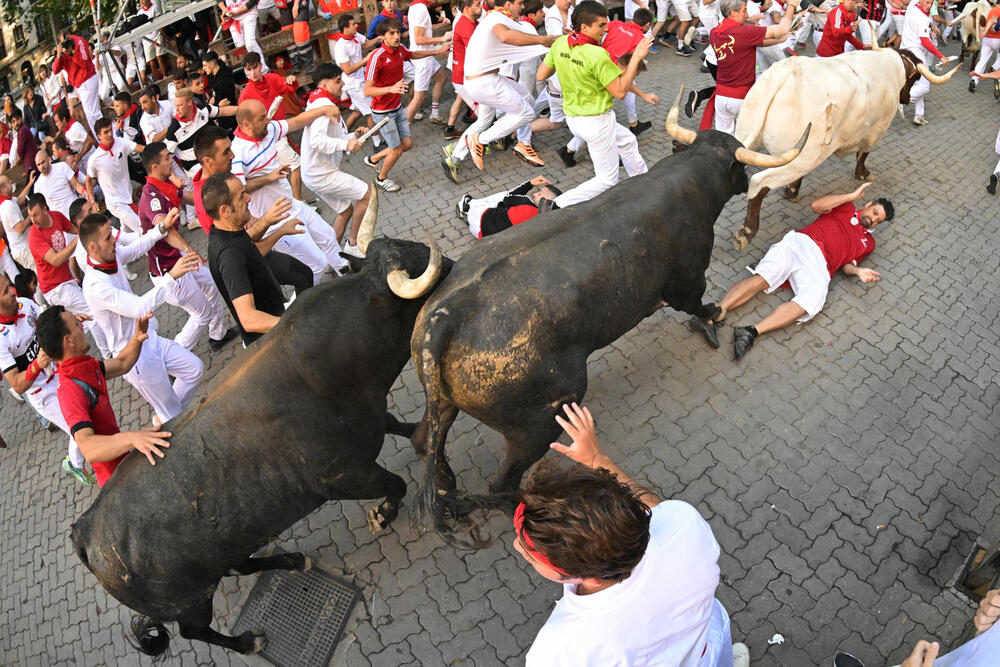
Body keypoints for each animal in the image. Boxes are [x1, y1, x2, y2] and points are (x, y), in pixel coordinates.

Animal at [73, 237, 454, 656]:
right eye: (423, 267)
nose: (458, 268)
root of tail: (86, 530)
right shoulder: (344, 476)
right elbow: (396, 485)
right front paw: (383, 514)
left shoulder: (370, 419)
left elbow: (398, 425)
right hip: (189, 601)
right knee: (194, 630)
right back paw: (246, 640)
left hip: (226, 546)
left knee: (239, 564)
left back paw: (293, 561)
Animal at [410, 104, 808, 544]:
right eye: (739, 165)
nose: (747, 182)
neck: (688, 181)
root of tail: (447, 314)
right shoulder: (688, 279)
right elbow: (699, 305)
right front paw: (712, 319)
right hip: (540, 421)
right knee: (500, 485)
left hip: (443, 404)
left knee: (424, 440)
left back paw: (447, 484)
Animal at [732, 46, 956, 250]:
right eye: (916, 78)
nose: (907, 99)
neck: (888, 68)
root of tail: (788, 71)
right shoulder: (875, 131)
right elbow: (863, 154)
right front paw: (863, 173)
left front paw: (792, 191)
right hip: (802, 156)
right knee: (760, 182)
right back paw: (746, 232)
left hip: (752, 139)